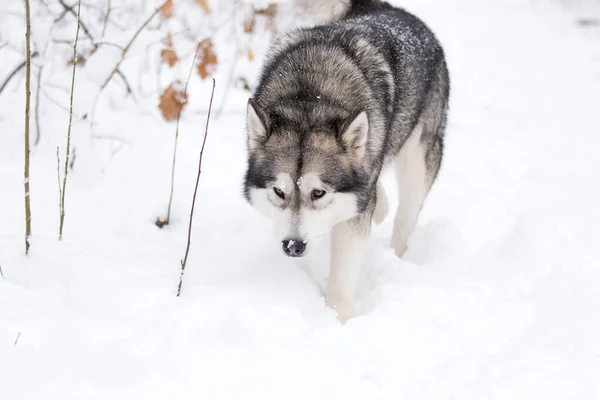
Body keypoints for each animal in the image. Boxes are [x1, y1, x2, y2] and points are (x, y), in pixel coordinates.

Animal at [241, 0, 448, 320]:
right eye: (279, 192)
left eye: (318, 192)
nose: (293, 246)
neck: (309, 97)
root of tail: (387, 7)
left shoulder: (354, 217)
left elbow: (343, 274)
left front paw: (336, 320)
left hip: (418, 158)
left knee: (406, 216)